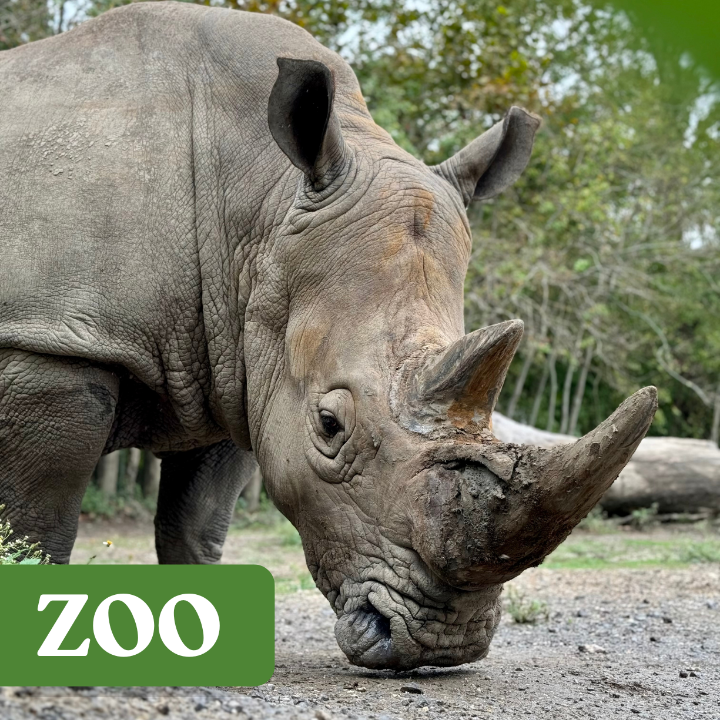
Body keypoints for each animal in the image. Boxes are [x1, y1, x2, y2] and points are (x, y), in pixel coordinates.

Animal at [0, 2, 656, 669]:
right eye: (329, 425)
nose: (443, 643)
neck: (258, 202)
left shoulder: (236, 361)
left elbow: (195, 526)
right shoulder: (51, 338)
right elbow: (39, 523)